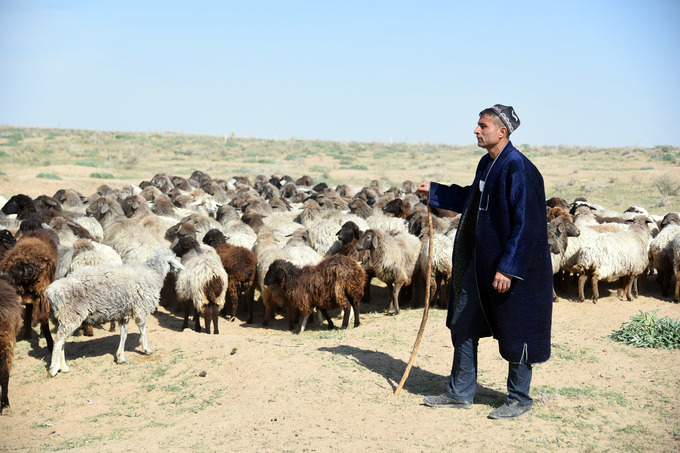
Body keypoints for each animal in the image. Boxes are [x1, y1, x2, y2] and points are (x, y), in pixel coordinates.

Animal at [45, 247, 185, 374]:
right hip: (71, 315)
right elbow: (142, 330)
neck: (152, 273)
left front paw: (120, 357)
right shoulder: (141, 308)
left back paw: (63, 367)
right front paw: (147, 349)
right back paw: (54, 369)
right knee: (58, 341)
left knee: (62, 342)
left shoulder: (124, 314)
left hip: (67, 317)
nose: (180, 269)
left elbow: (124, 334)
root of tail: (51, 291)